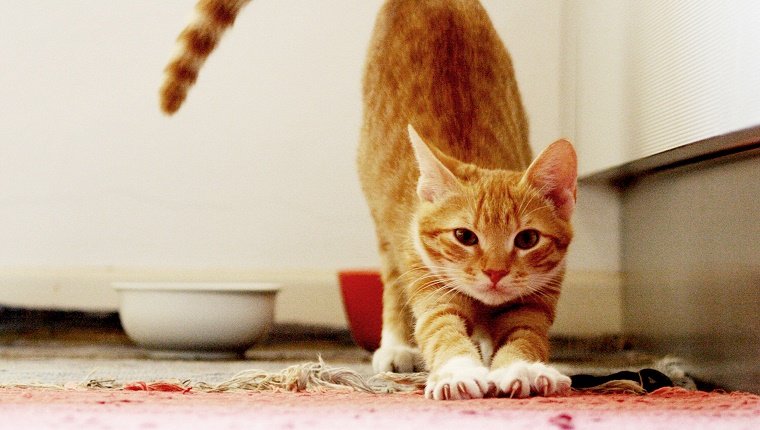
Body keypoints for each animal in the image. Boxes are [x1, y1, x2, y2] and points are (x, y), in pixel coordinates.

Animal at [159, 0, 576, 400]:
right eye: (464, 236)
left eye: (526, 239)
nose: (494, 273)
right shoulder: (431, 287)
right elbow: (442, 330)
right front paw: (460, 373)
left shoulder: (535, 299)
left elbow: (523, 337)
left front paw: (520, 369)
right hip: (382, 221)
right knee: (392, 284)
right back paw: (396, 346)